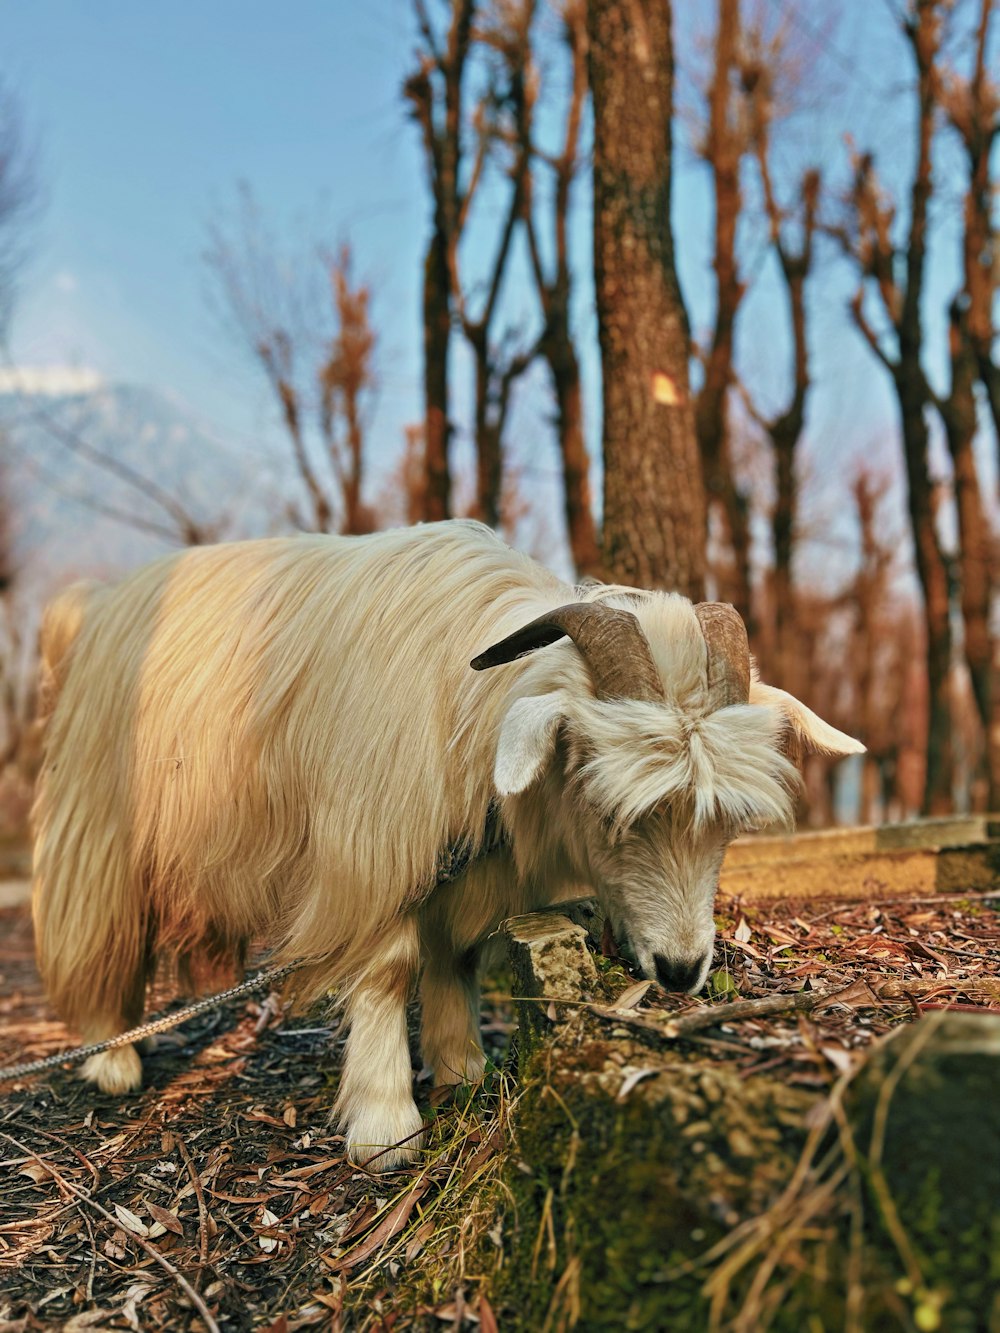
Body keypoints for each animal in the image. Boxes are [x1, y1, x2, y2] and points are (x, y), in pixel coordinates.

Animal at [31, 519, 864, 1167]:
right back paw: (111, 1055)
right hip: (98, 823)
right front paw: (384, 1124)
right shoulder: (372, 844)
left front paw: (464, 1065)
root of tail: (91, 608)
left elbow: (455, 955)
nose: (683, 969)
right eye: (604, 804)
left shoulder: (466, 862)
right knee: (94, 926)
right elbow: (389, 966)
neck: (466, 699)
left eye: (722, 823)